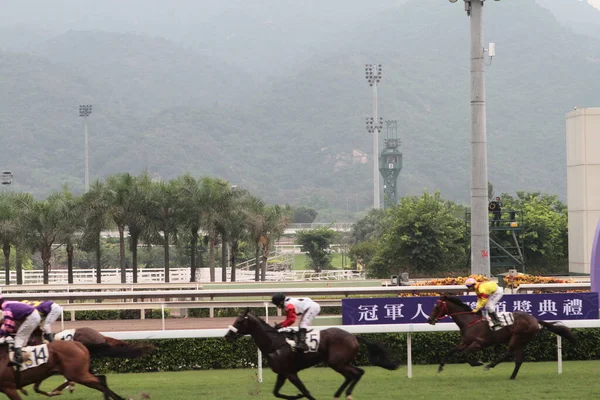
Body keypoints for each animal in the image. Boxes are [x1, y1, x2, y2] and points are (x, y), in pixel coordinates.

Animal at [225, 310, 398, 400]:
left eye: (239, 321)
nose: (227, 335)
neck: (274, 343)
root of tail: (353, 336)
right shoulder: (283, 373)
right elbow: (277, 392)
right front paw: (296, 396)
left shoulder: (291, 373)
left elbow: (305, 392)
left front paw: (300, 394)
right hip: (340, 362)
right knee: (355, 374)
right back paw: (339, 394)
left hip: (337, 362)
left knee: (356, 373)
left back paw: (346, 394)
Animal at [426, 296, 576, 380]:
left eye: (437, 306)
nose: (429, 319)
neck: (470, 321)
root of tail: (535, 320)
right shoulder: (465, 342)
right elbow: (452, 350)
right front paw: (440, 367)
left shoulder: (478, 343)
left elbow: (464, 354)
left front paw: (477, 362)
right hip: (522, 341)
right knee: (518, 359)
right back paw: (512, 376)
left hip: (517, 337)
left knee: (509, 353)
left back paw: (489, 365)